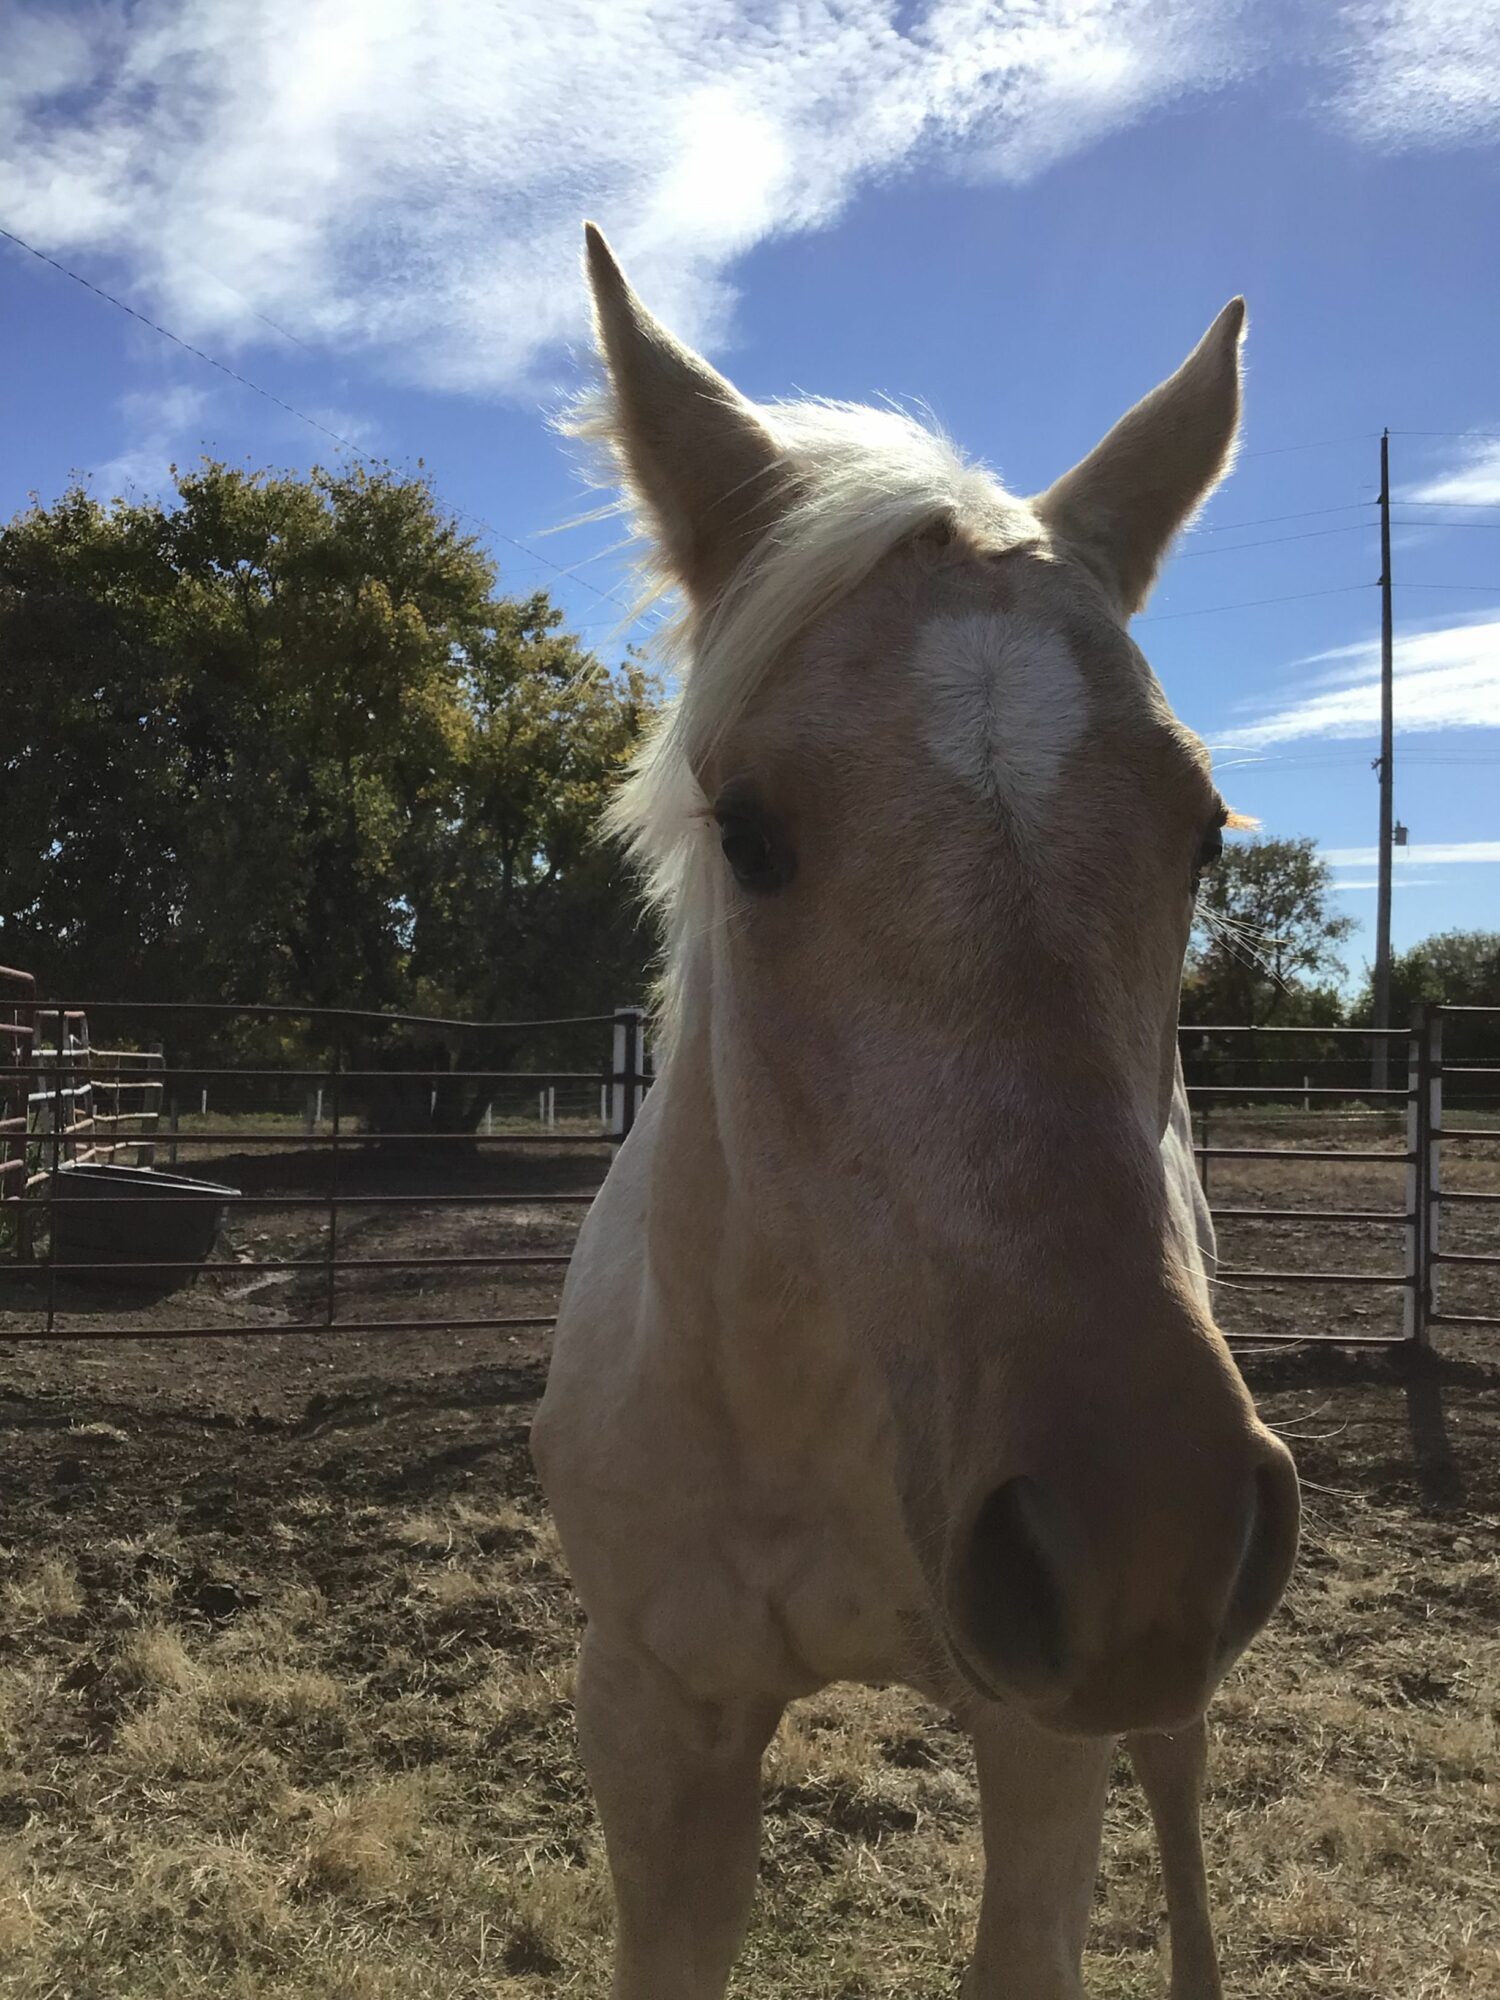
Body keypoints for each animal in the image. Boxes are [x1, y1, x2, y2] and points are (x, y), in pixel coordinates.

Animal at [532, 223, 1301, 1999]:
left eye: (1203, 832)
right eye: (747, 832)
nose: (1135, 1533)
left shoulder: (1045, 1747)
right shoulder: (653, 1722)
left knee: (1180, 1779)